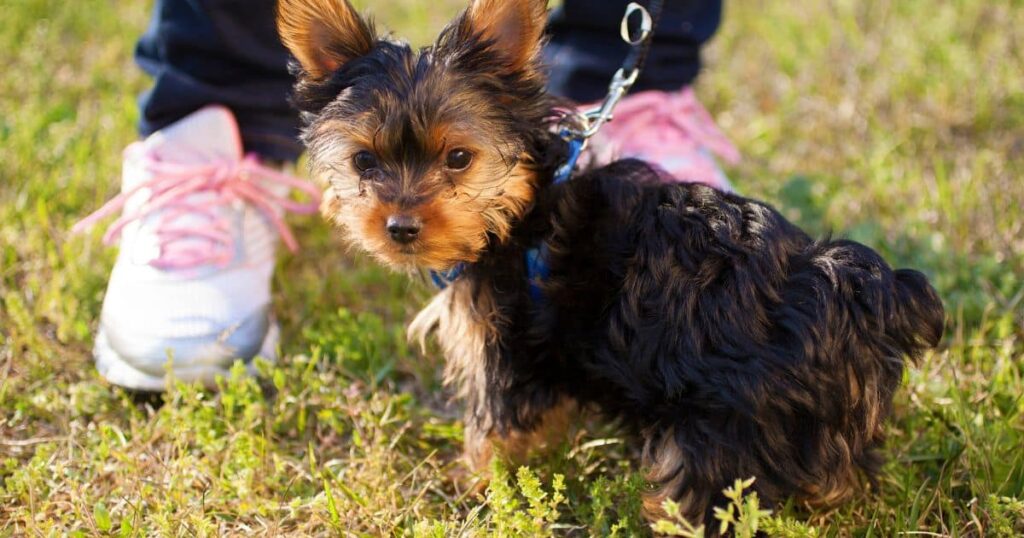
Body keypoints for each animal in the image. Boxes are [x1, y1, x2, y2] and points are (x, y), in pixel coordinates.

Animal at [278, 0, 942, 528]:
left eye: (460, 158)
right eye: (364, 163)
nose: (400, 226)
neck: (521, 211)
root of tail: (842, 288)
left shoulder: (508, 348)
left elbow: (495, 431)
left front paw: (474, 484)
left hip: (723, 428)